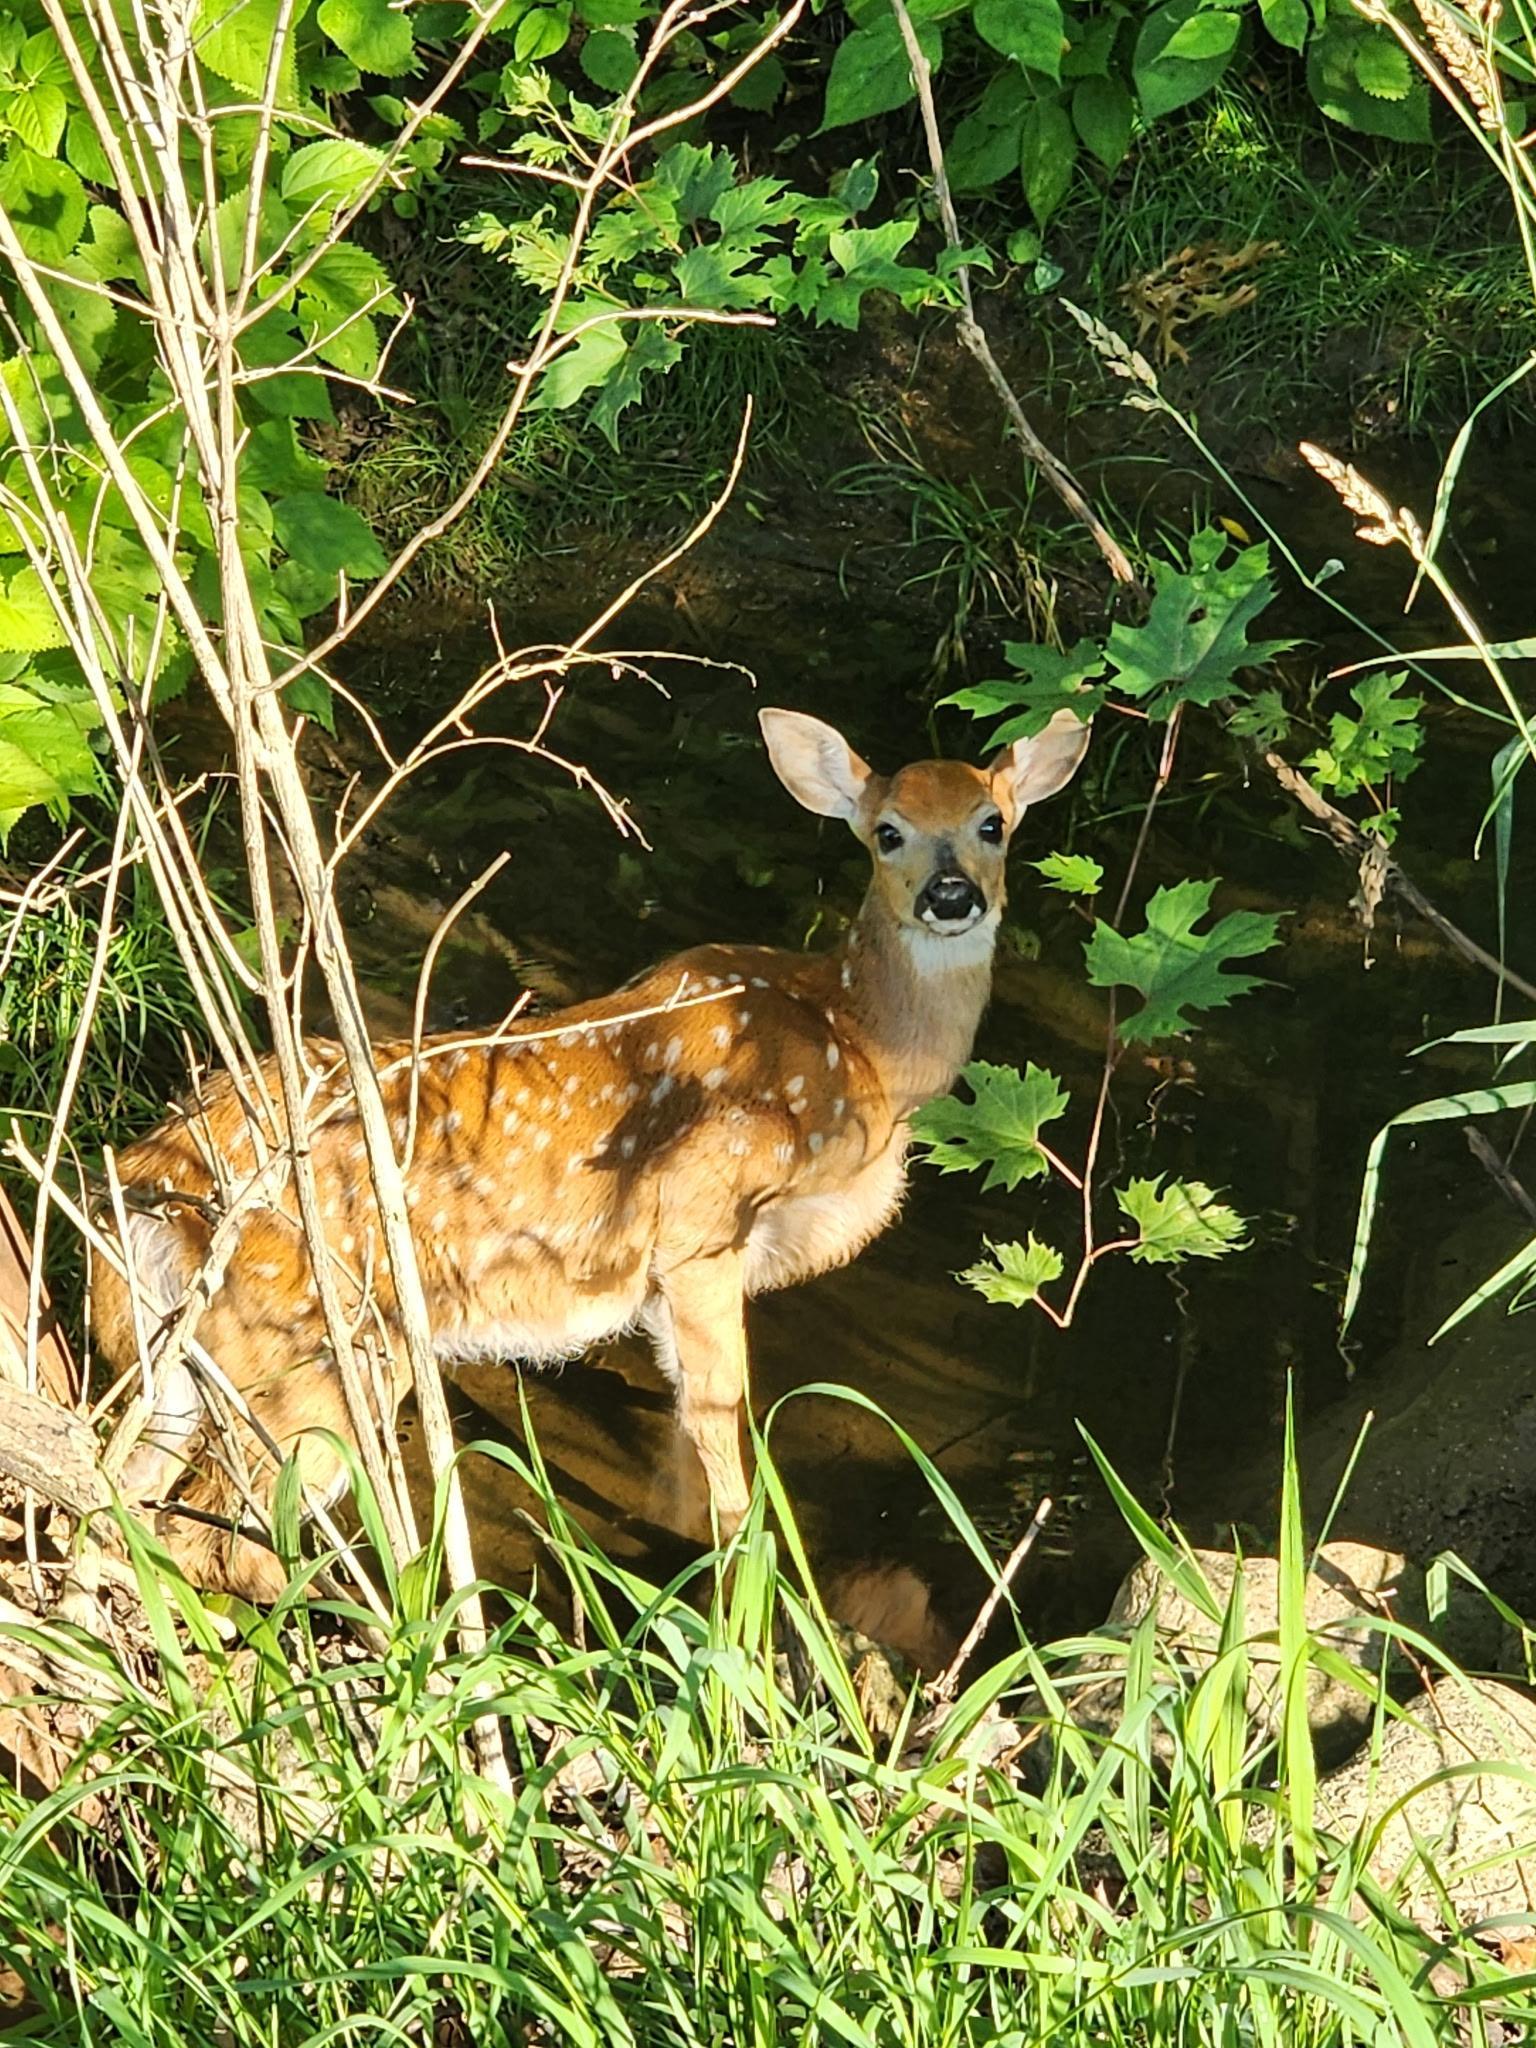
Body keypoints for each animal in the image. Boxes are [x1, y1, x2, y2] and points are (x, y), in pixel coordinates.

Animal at [91, 705, 1091, 1599]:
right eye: (888, 834)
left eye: (993, 823)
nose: (951, 896)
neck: (858, 1052)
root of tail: (146, 1187)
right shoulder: (700, 1224)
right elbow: (722, 1424)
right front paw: (750, 1578)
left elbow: (683, 1414)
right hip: (318, 1341)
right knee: (218, 1538)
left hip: (184, 1363)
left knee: (121, 1502)